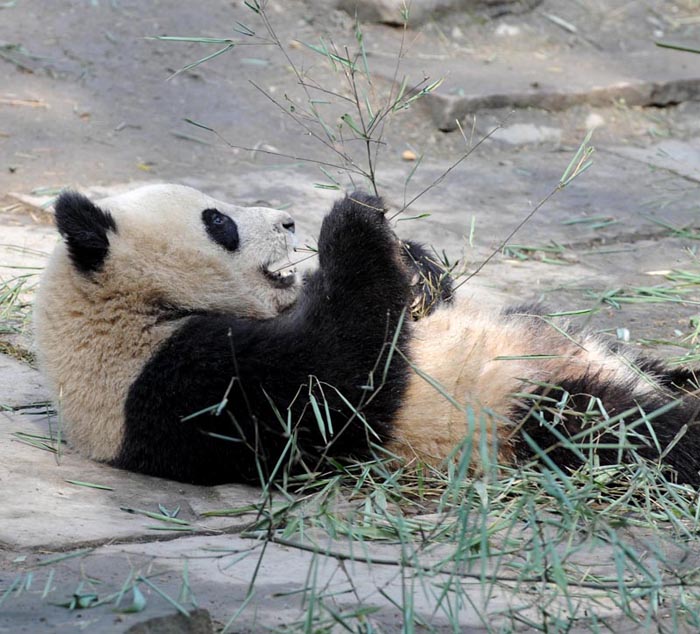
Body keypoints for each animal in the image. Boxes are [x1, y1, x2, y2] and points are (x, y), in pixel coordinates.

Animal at [34, 183, 700, 484]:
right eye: (218, 220)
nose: (288, 221)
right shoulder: (178, 387)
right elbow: (335, 383)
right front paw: (353, 217)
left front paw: (416, 259)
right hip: (520, 409)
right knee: (628, 430)